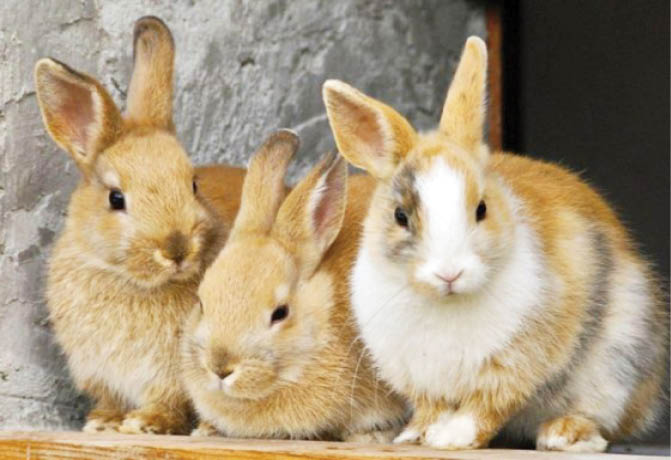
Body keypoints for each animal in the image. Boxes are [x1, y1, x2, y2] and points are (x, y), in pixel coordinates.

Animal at [36, 16, 246, 434]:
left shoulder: (173, 374)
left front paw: (146, 423)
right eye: (116, 199)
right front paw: (103, 422)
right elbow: (111, 399)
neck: (132, 282)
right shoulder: (100, 369)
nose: (177, 249)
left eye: (193, 184)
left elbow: (170, 400)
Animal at [322, 36, 668, 452]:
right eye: (400, 216)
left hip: (617, 365)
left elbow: (485, 406)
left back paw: (563, 434)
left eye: (482, 209)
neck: (446, 303)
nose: (449, 273)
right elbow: (431, 407)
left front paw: (451, 439)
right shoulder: (418, 377)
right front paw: (415, 436)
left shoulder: (512, 364)